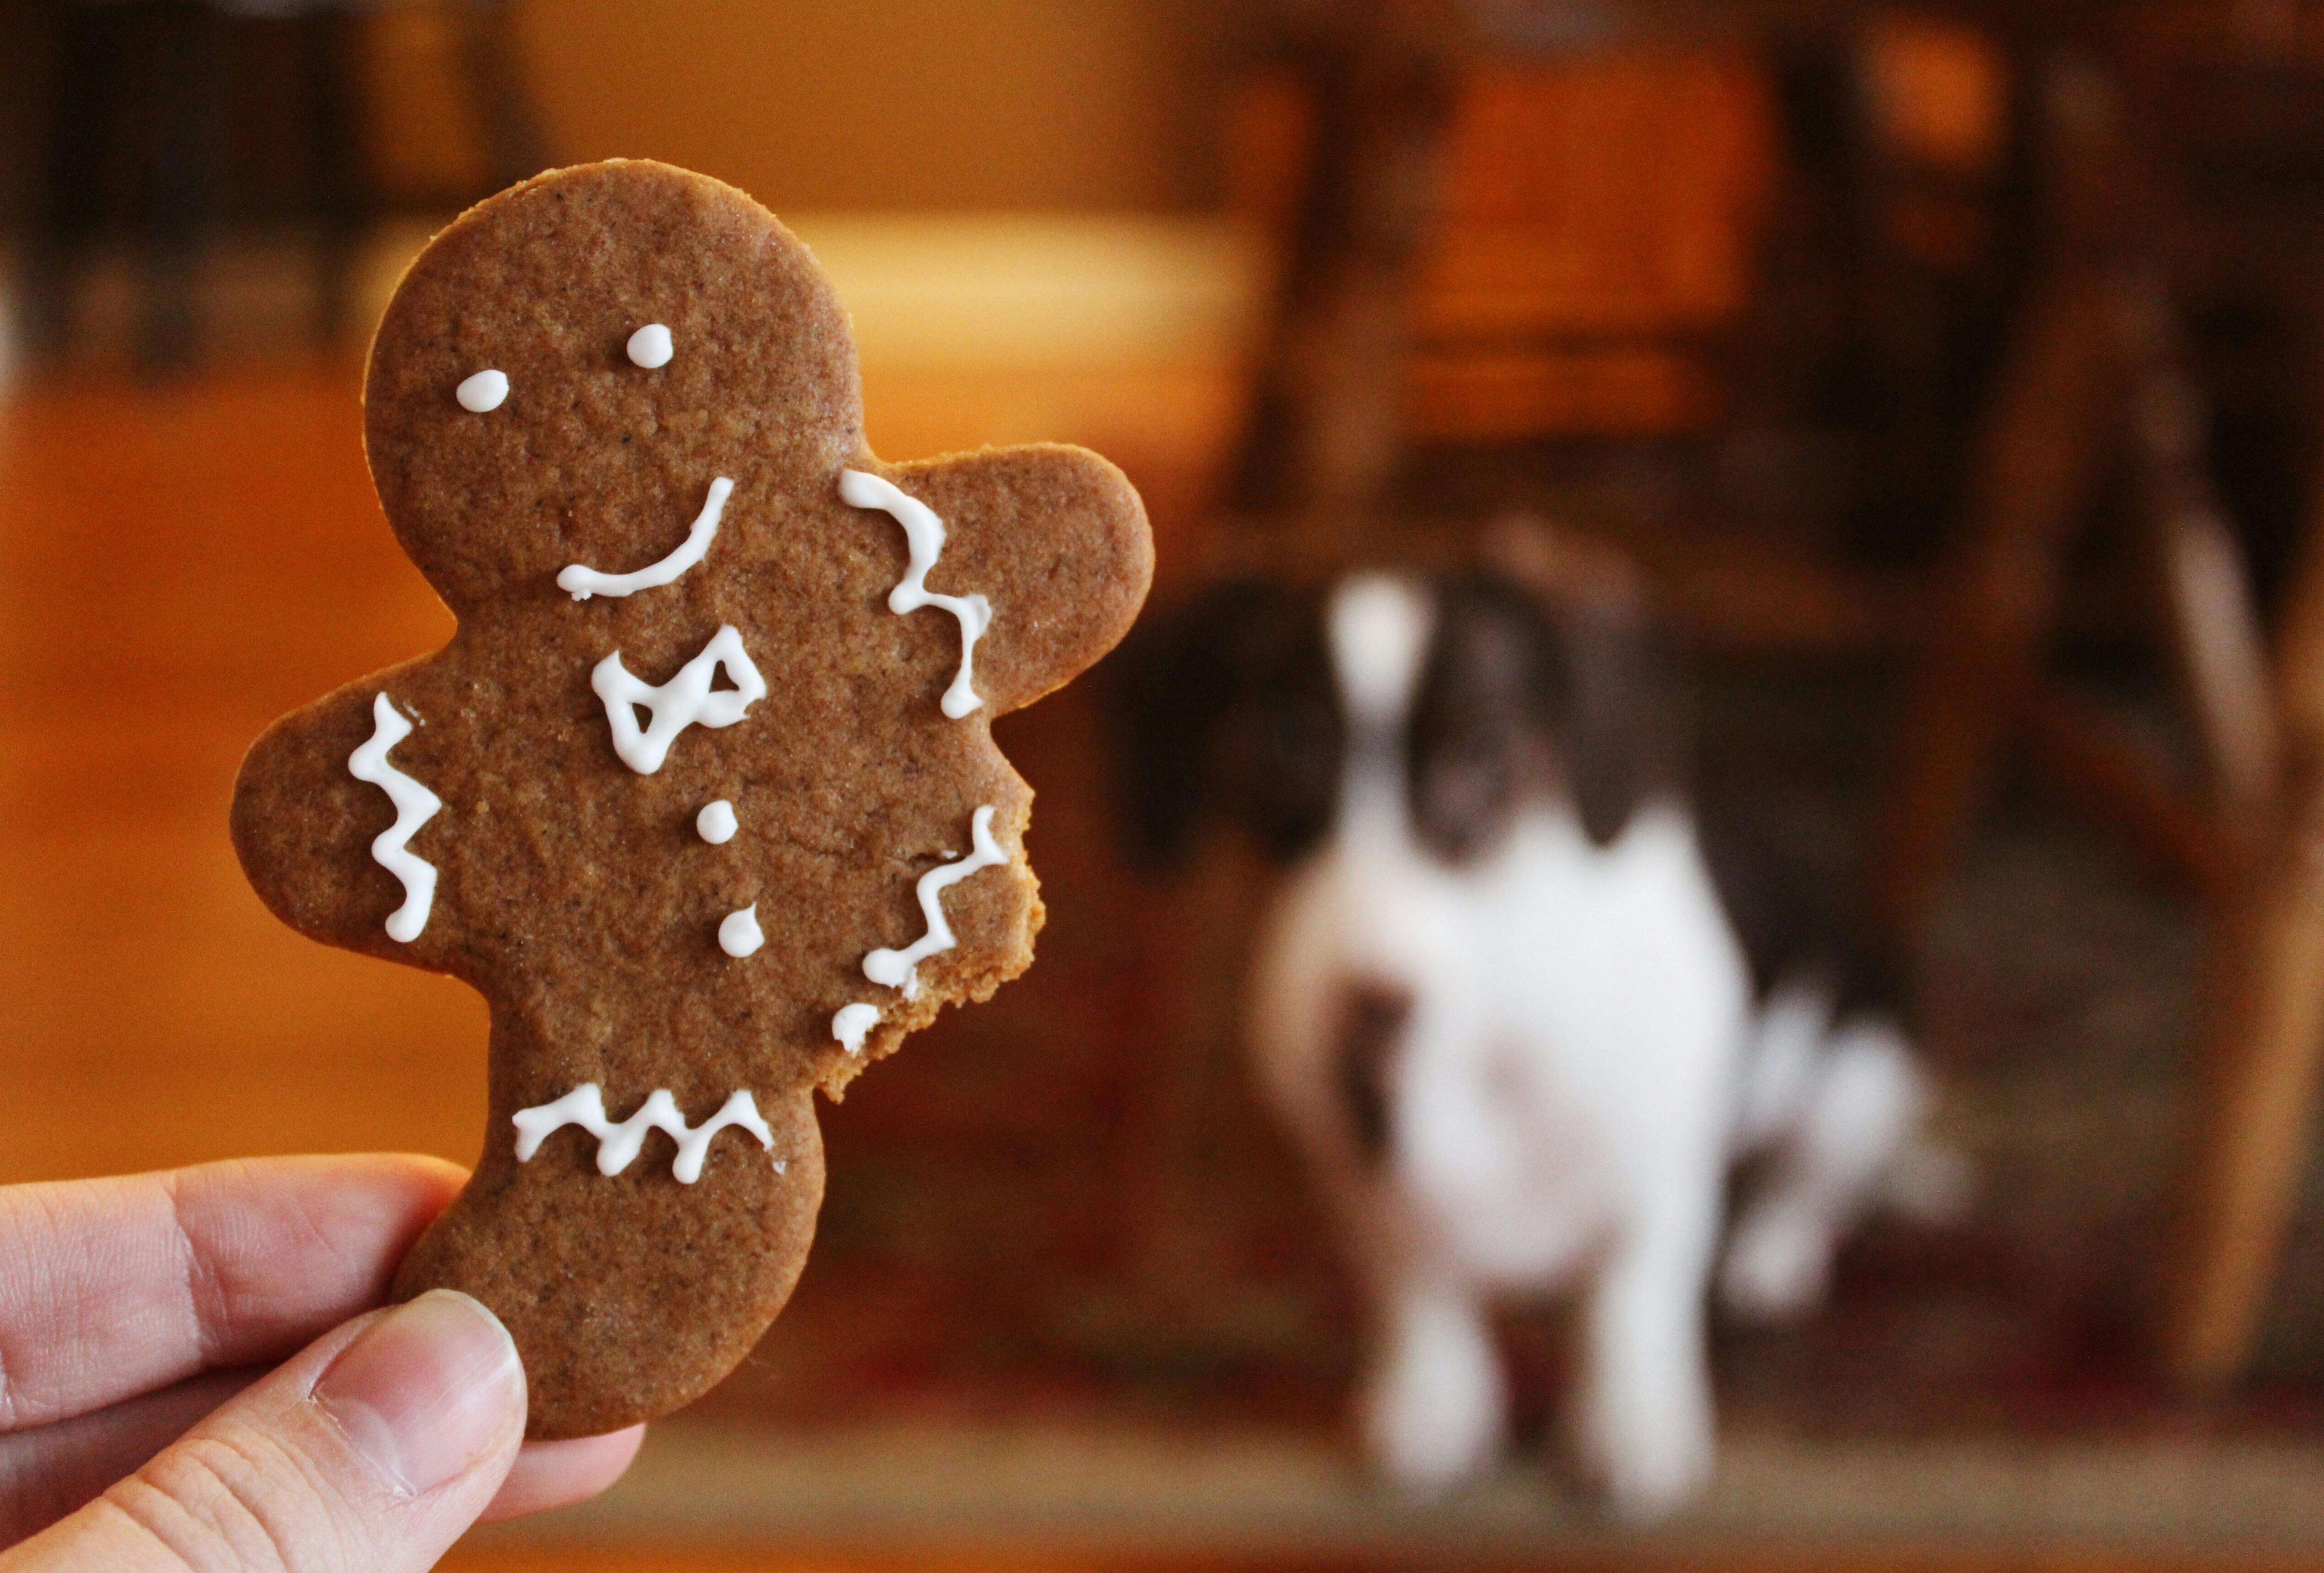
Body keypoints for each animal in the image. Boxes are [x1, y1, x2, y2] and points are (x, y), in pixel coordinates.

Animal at [1115, 534, 1952, 1515]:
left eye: (1486, 749)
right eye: (1285, 743)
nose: (1370, 1005)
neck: (1481, 1039)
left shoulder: (1655, 1188)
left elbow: (1631, 1308)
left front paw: (1629, 1424)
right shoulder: (1366, 1192)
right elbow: (1420, 1297)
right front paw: (1434, 1402)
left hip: (1859, 1075)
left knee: (1811, 1182)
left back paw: (1770, 1254)